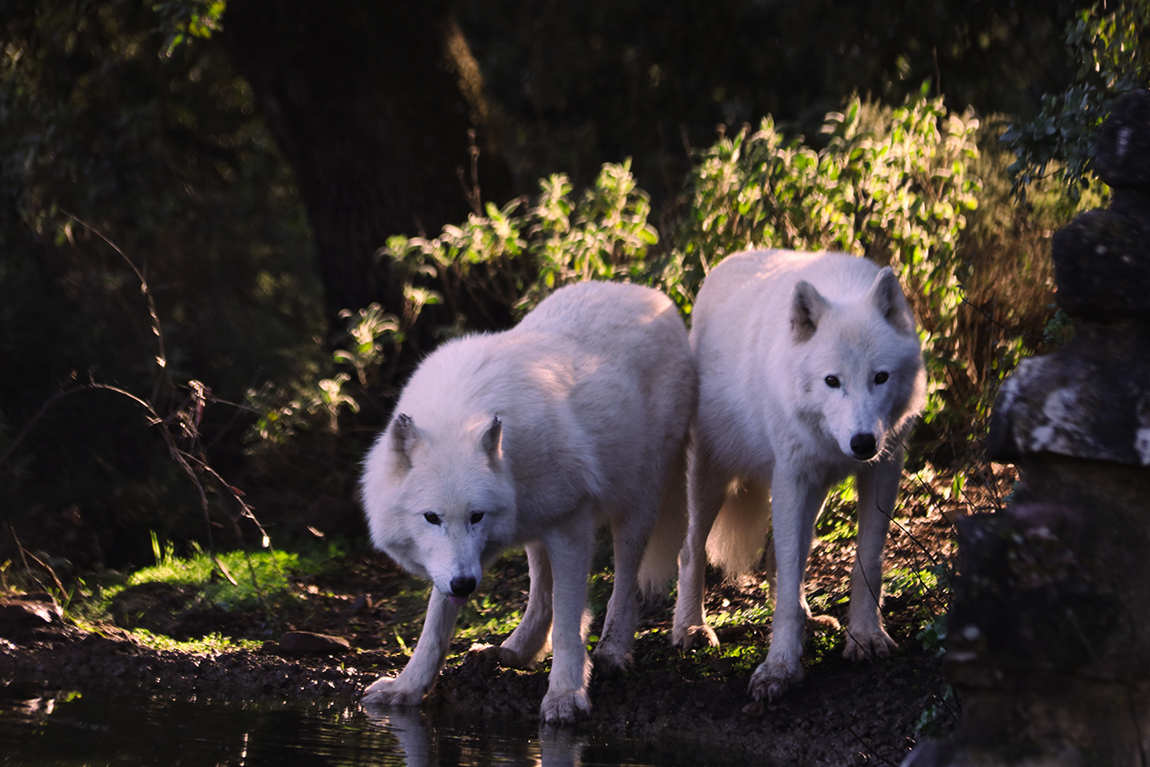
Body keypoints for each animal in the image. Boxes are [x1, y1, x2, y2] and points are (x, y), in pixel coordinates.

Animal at [360, 281, 696, 724]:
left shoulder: (571, 526)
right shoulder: (460, 561)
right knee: (540, 592)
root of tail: (651, 295)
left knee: (625, 583)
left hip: (635, 506)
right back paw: (517, 650)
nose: (465, 585)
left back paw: (612, 650)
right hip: (537, 526)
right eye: (431, 518)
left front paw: (566, 694)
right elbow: (435, 626)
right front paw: (407, 687)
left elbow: (570, 622)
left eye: (476, 516)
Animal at [671, 249, 926, 701]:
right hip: (711, 477)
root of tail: (730, 261)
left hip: (815, 491)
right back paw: (691, 627)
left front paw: (866, 636)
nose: (862, 443)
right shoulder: (792, 476)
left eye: (880, 377)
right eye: (832, 381)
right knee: (691, 550)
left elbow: (867, 561)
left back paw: (810, 615)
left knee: (781, 554)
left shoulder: (884, 467)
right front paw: (780, 668)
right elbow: (789, 577)